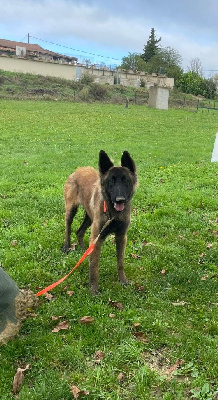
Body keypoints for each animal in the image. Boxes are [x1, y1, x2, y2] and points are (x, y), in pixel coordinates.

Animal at [62, 150, 136, 294]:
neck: (113, 214)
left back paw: (83, 249)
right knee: (68, 228)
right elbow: (94, 266)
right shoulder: (97, 238)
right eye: (111, 181)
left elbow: (120, 262)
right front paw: (93, 290)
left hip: (90, 218)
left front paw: (123, 281)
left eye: (126, 181)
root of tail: (78, 170)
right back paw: (67, 246)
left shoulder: (121, 236)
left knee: (79, 232)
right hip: (71, 211)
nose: (120, 200)